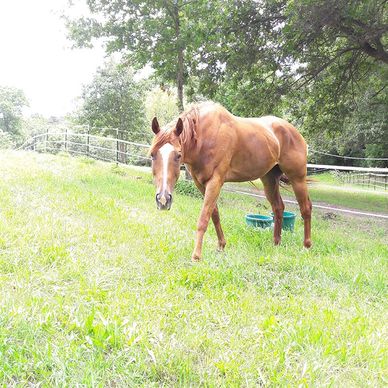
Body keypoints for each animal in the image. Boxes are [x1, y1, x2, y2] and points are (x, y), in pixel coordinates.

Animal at [149, 102, 312, 260]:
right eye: (152, 154)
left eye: (178, 155)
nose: (163, 199)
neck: (204, 136)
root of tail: (294, 132)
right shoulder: (201, 183)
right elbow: (214, 214)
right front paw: (221, 246)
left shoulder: (215, 182)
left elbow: (204, 218)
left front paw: (196, 256)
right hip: (269, 180)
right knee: (278, 208)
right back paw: (276, 243)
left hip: (297, 178)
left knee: (305, 208)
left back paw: (306, 246)